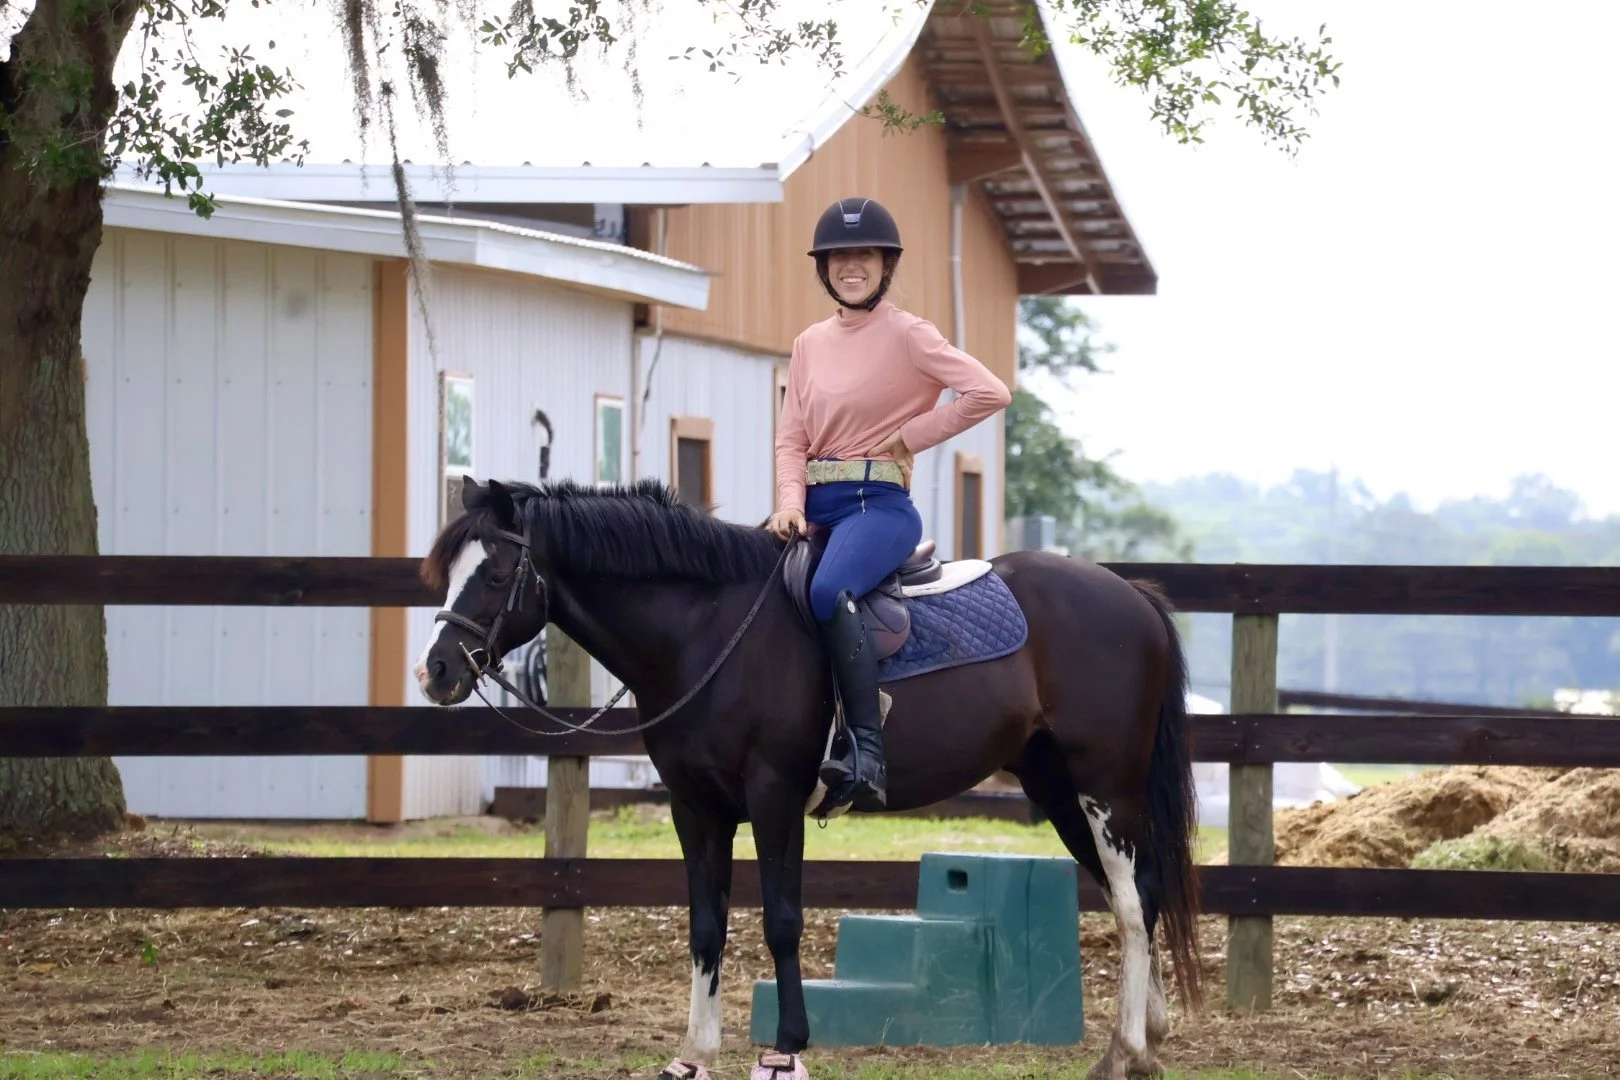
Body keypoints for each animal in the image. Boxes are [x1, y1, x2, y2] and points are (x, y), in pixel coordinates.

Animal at [413, 476, 1203, 1080]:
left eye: (492, 573)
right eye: (448, 573)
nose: (436, 671)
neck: (707, 629)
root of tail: (1131, 595)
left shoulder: (774, 798)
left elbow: (782, 921)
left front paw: (786, 1050)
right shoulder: (696, 808)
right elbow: (706, 925)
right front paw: (694, 1054)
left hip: (1107, 786)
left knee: (1131, 902)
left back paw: (1123, 1051)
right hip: (1057, 787)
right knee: (1140, 894)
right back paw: (1150, 1040)